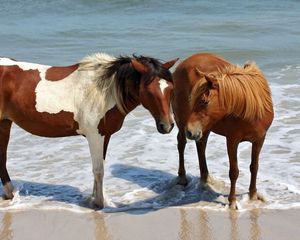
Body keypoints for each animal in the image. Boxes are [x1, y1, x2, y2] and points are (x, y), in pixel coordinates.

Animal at [0, 53, 178, 208]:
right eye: (149, 91)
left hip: (5, 123)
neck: (104, 92)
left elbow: (99, 167)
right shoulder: (95, 136)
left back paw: (10, 194)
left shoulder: (104, 136)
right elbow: (98, 170)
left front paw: (94, 198)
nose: (167, 126)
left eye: (170, 88)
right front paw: (99, 203)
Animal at [172, 53, 274, 209]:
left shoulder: (259, 139)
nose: (190, 131)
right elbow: (234, 172)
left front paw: (253, 195)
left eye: (205, 102)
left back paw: (205, 178)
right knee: (181, 143)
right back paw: (183, 177)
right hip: (184, 122)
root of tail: (182, 65)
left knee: (201, 146)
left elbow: (254, 167)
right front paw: (232, 202)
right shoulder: (232, 140)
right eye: (193, 100)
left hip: (204, 128)